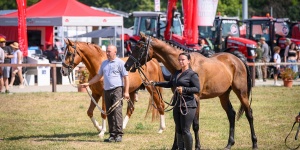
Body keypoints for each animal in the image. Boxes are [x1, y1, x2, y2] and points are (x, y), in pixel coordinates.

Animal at [124, 33, 258, 149]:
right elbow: (178, 124)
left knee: (249, 114)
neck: (186, 65)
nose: (127, 65)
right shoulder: (177, 98)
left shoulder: (196, 99)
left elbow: (195, 125)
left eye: (139, 47)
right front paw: (175, 146)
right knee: (231, 114)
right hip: (223, 95)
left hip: (241, 93)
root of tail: (239, 60)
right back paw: (229, 144)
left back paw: (254, 143)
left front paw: (197, 146)